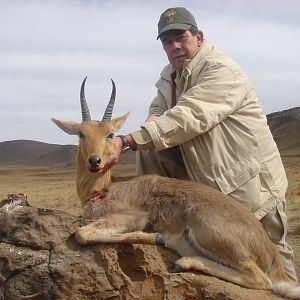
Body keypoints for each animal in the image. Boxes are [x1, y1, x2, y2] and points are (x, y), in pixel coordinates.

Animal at [52, 77, 300, 298]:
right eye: (81, 134)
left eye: (110, 134)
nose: (94, 161)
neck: (104, 188)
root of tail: (272, 253)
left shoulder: (133, 217)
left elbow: (82, 233)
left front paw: (155, 237)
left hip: (204, 225)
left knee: (262, 280)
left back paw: (178, 255)